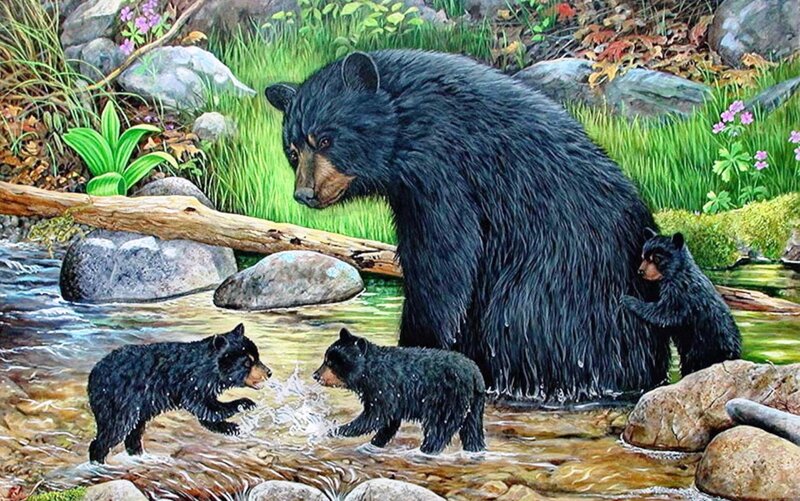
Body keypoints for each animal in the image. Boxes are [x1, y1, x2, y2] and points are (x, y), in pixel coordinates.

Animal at [87, 324, 271, 463]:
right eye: (247, 362)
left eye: (257, 356)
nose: (269, 372)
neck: (209, 367)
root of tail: (94, 373)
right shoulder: (192, 383)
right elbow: (207, 408)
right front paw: (243, 405)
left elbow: (207, 413)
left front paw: (230, 427)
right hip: (118, 401)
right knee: (114, 429)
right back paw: (99, 463)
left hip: (137, 406)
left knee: (134, 432)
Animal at [266, 49, 669, 403]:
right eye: (292, 150)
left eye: (326, 138)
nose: (304, 194)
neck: (407, 117)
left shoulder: (443, 171)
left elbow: (443, 262)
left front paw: (413, 350)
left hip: (555, 298)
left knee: (515, 325)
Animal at [313, 328, 486, 455]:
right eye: (326, 359)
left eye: (331, 362)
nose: (315, 375)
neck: (368, 372)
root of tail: (475, 374)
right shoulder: (393, 397)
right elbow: (390, 422)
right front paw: (374, 444)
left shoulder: (383, 388)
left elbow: (374, 416)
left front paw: (332, 430)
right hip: (474, 404)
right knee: (472, 431)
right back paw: (475, 451)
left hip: (447, 400)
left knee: (438, 429)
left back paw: (423, 451)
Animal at [622, 231, 741, 376]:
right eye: (643, 256)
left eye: (657, 259)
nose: (640, 271)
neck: (678, 270)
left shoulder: (680, 291)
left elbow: (666, 313)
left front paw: (629, 300)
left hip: (707, 346)